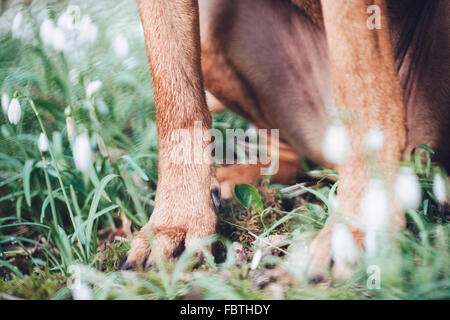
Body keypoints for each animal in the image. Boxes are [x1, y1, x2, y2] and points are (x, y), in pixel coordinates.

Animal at [121, 0, 448, 280]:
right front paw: (175, 221)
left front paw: (359, 225)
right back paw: (240, 180)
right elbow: (175, 97)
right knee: (294, 158)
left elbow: (360, 88)